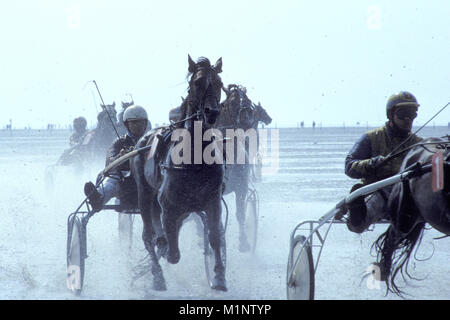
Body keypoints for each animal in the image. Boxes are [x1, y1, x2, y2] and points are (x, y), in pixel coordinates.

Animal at [132, 56, 227, 292]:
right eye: (197, 83)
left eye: (219, 83)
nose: (212, 113)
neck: (195, 159)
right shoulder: (169, 206)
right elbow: (173, 252)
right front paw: (165, 248)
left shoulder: (213, 202)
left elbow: (214, 237)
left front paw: (219, 277)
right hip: (144, 194)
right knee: (148, 236)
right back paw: (158, 276)